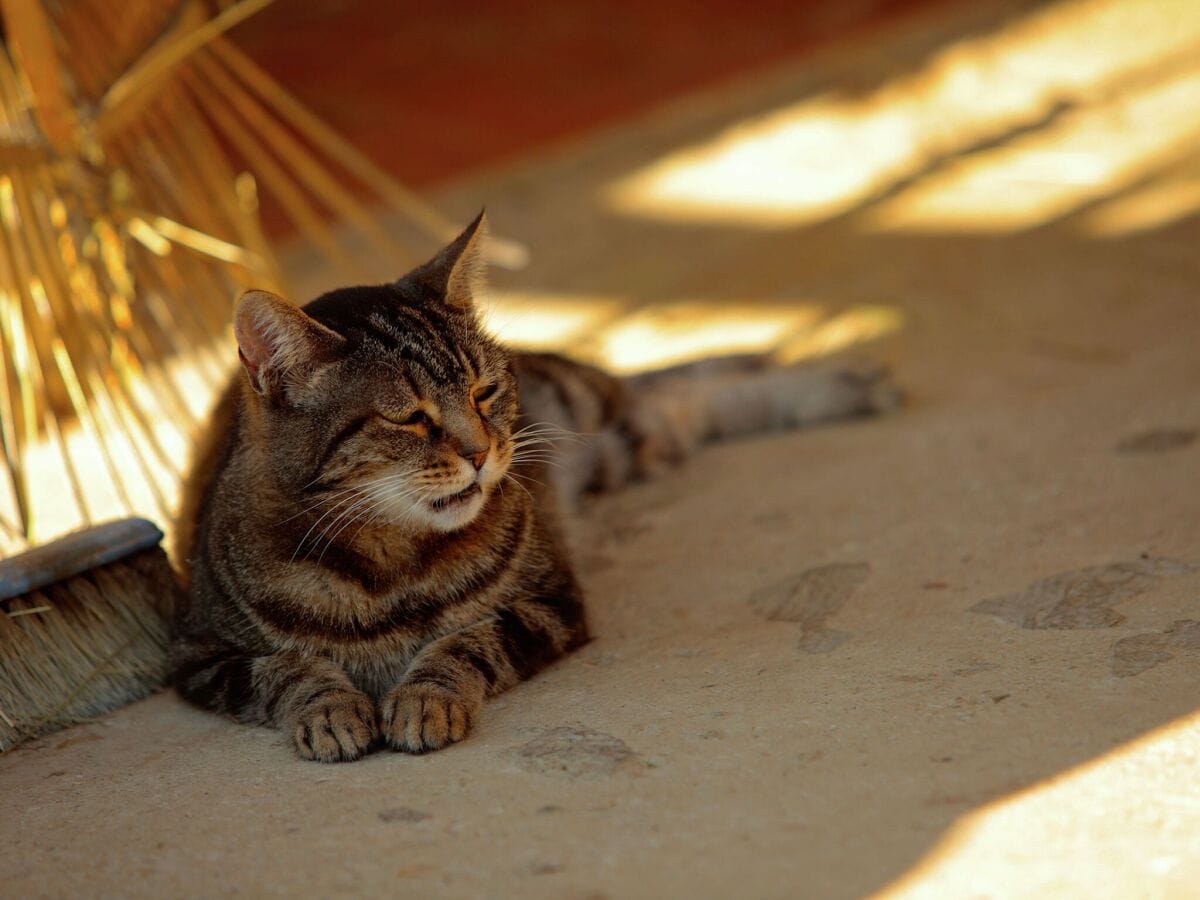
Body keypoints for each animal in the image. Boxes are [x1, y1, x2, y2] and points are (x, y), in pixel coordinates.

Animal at [174, 214, 897, 763]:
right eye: (409, 417)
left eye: (483, 390)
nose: (481, 451)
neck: (390, 565)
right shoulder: (201, 655)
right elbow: (284, 669)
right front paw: (329, 709)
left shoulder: (548, 602)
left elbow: (464, 643)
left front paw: (424, 697)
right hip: (627, 444)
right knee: (680, 405)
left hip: (592, 412)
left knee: (674, 387)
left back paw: (843, 383)